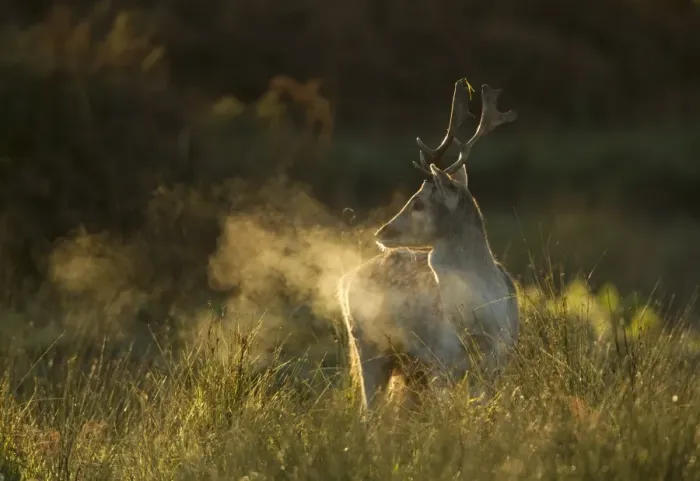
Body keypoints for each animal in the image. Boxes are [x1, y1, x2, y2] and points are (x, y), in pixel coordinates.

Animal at [337, 79, 520, 412]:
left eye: (419, 203)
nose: (381, 231)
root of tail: (342, 281)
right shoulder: (440, 361)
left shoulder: (500, 359)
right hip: (367, 346)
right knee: (368, 409)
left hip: (405, 366)